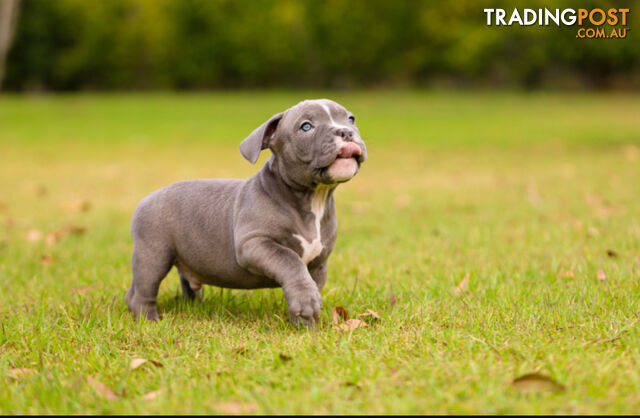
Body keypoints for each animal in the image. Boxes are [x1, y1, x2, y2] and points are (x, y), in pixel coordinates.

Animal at [125, 98, 368, 324]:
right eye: (306, 127)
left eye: (351, 119)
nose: (345, 131)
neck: (313, 198)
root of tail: (146, 198)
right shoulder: (255, 244)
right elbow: (290, 261)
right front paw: (307, 303)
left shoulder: (318, 265)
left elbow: (309, 282)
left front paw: (307, 326)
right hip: (153, 254)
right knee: (144, 291)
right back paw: (149, 320)